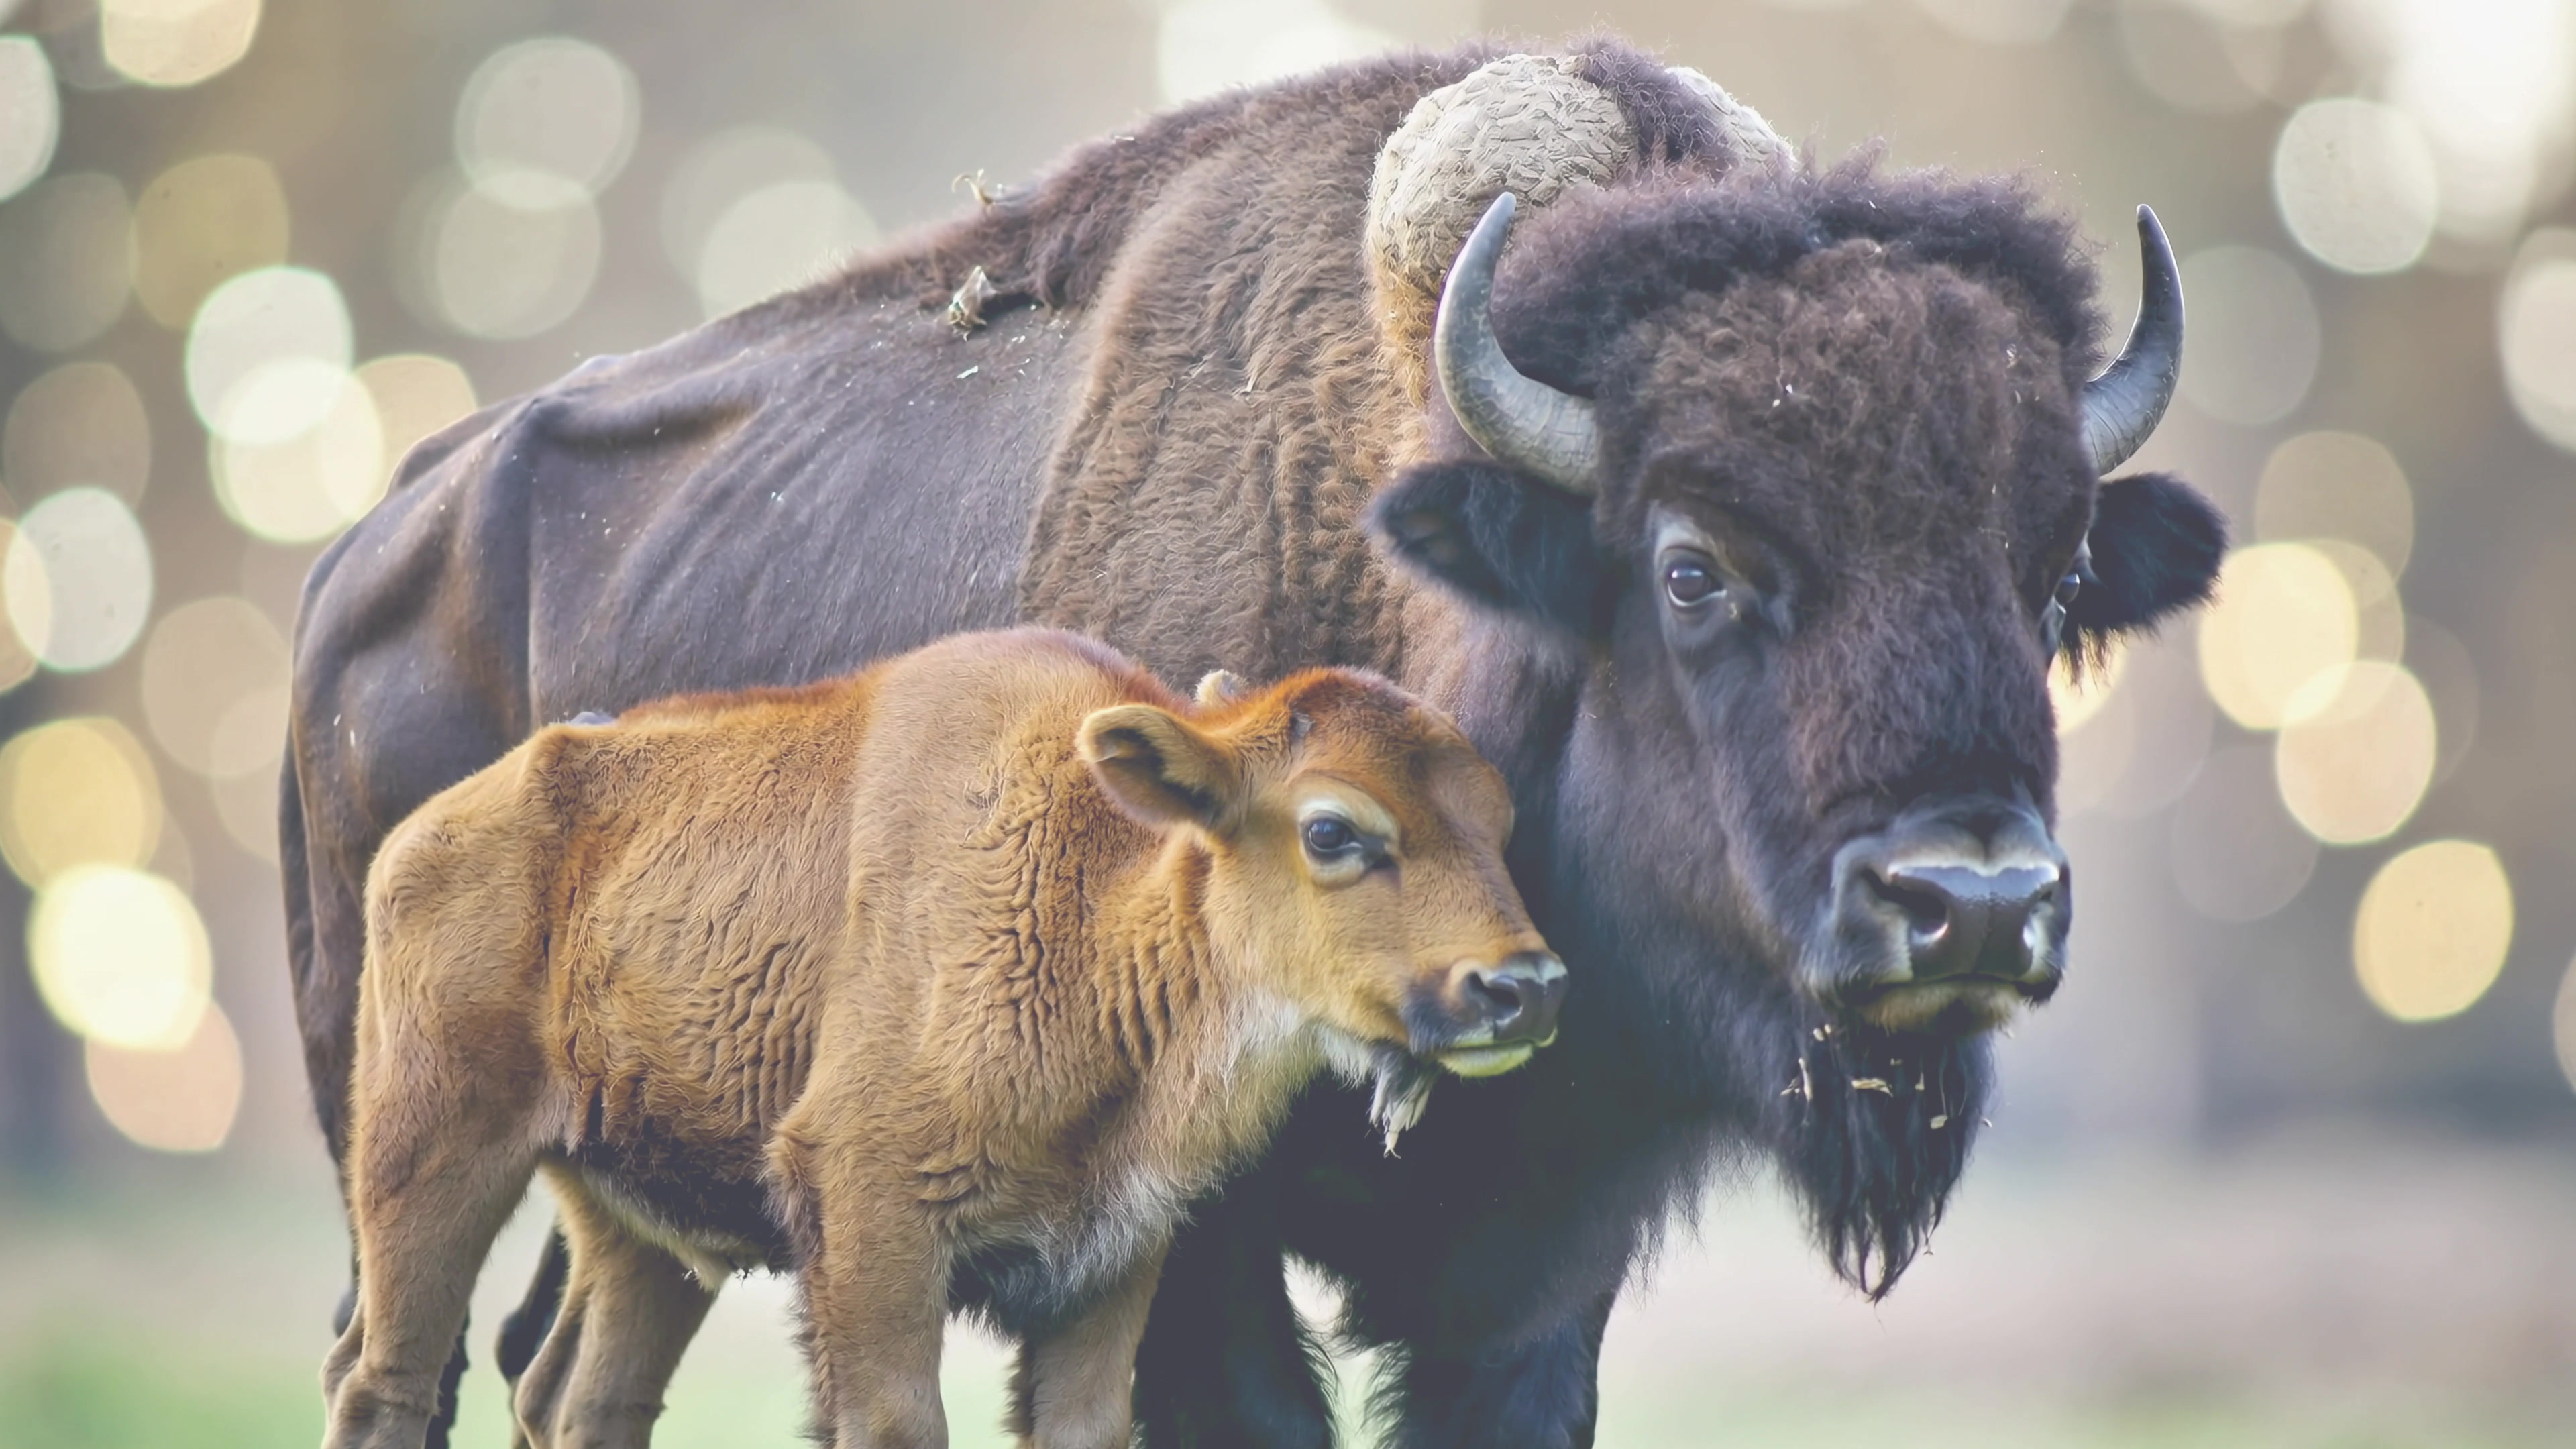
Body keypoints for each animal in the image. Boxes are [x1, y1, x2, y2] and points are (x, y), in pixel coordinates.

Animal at [321, 629, 1563, 1449]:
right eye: (1333, 831)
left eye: (1498, 821)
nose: (1526, 988)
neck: (1099, 891)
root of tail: (428, 831)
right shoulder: (875, 1221)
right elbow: (894, 1422)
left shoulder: (1112, 1259)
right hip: (428, 1156)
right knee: (385, 1379)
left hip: (644, 1235)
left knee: (585, 1398)